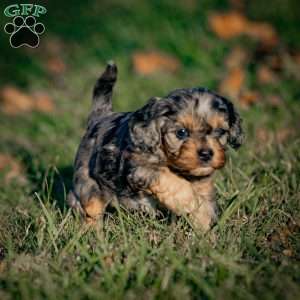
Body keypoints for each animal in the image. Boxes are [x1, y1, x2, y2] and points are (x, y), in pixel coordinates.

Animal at [67, 62, 243, 232]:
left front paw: (206, 231)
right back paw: (92, 232)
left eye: (220, 131)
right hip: (87, 182)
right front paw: (189, 201)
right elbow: (170, 179)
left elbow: (204, 202)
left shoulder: (202, 181)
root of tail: (100, 117)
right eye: (181, 132)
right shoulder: (140, 167)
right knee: (88, 205)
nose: (206, 154)